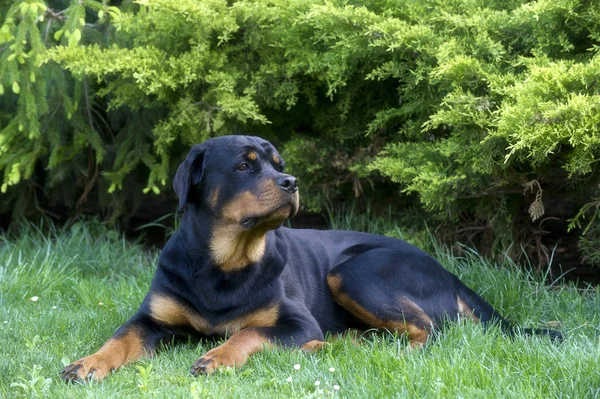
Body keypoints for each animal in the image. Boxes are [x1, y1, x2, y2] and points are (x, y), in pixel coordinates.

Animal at [61, 136, 564, 382]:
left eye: (278, 163)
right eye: (244, 166)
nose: (291, 182)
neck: (223, 262)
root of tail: (449, 272)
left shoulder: (294, 321)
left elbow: (248, 333)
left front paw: (217, 358)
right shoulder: (152, 319)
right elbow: (120, 339)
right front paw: (87, 363)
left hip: (354, 272)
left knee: (429, 332)